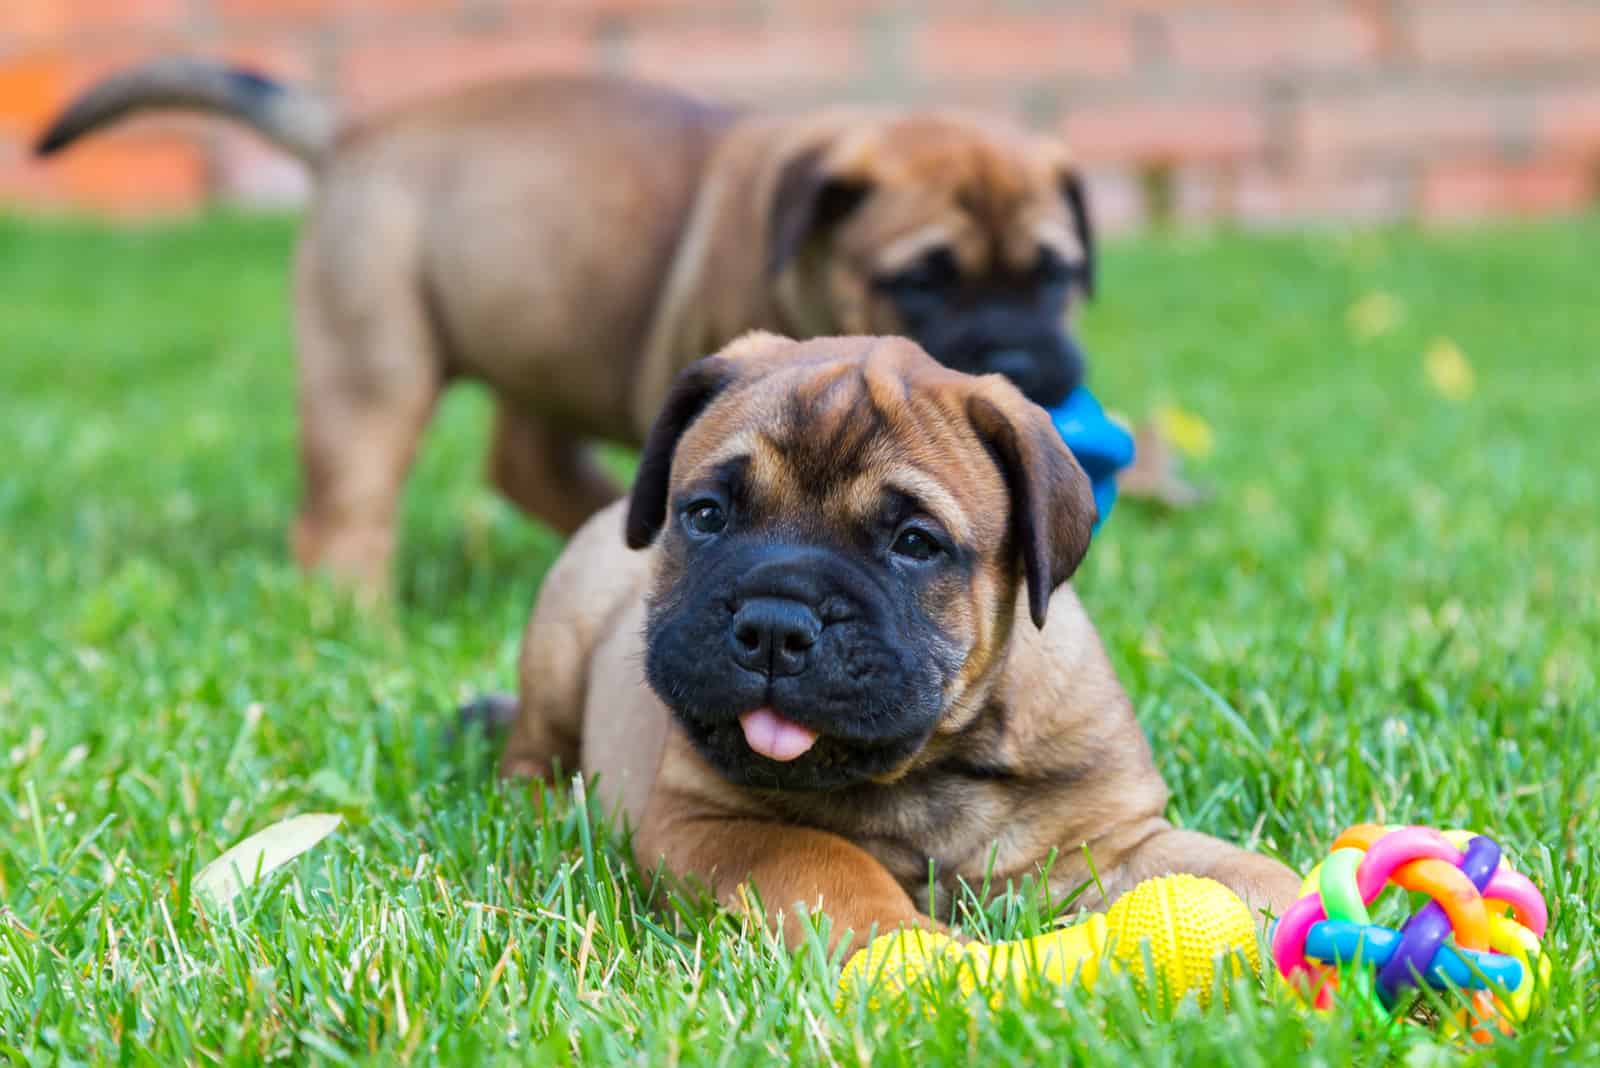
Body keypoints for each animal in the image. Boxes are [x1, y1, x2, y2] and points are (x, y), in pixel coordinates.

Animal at [37, 58, 1094, 597]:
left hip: (537, 338)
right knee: (345, 514)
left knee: (528, 464)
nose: (1024, 361)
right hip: (371, 364)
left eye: (1057, 275)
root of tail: (354, 133)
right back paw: (362, 624)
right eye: (920, 281)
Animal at [499, 334, 1299, 952]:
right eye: (706, 515)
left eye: (915, 543)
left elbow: (1241, 871)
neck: (932, 763)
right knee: (530, 751)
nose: (775, 625)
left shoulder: (1111, 839)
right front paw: (919, 953)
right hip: (561, 640)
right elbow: (827, 862)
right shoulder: (712, 822)